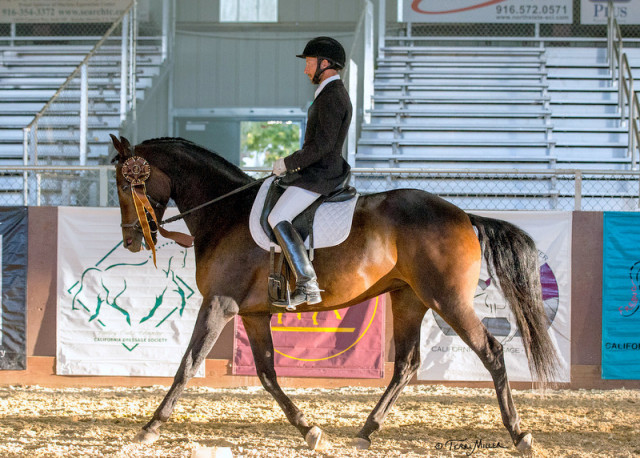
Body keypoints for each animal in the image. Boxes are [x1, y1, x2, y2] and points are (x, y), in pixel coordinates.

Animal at [111, 134, 560, 452]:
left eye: (123, 184)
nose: (132, 241)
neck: (224, 212)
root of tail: (463, 214)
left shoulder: (219, 304)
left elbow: (188, 365)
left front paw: (149, 428)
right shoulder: (252, 314)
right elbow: (268, 374)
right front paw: (310, 430)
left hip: (447, 300)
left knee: (492, 352)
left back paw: (519, 435)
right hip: (409, 299)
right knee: (406, 364)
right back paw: (366, 431)